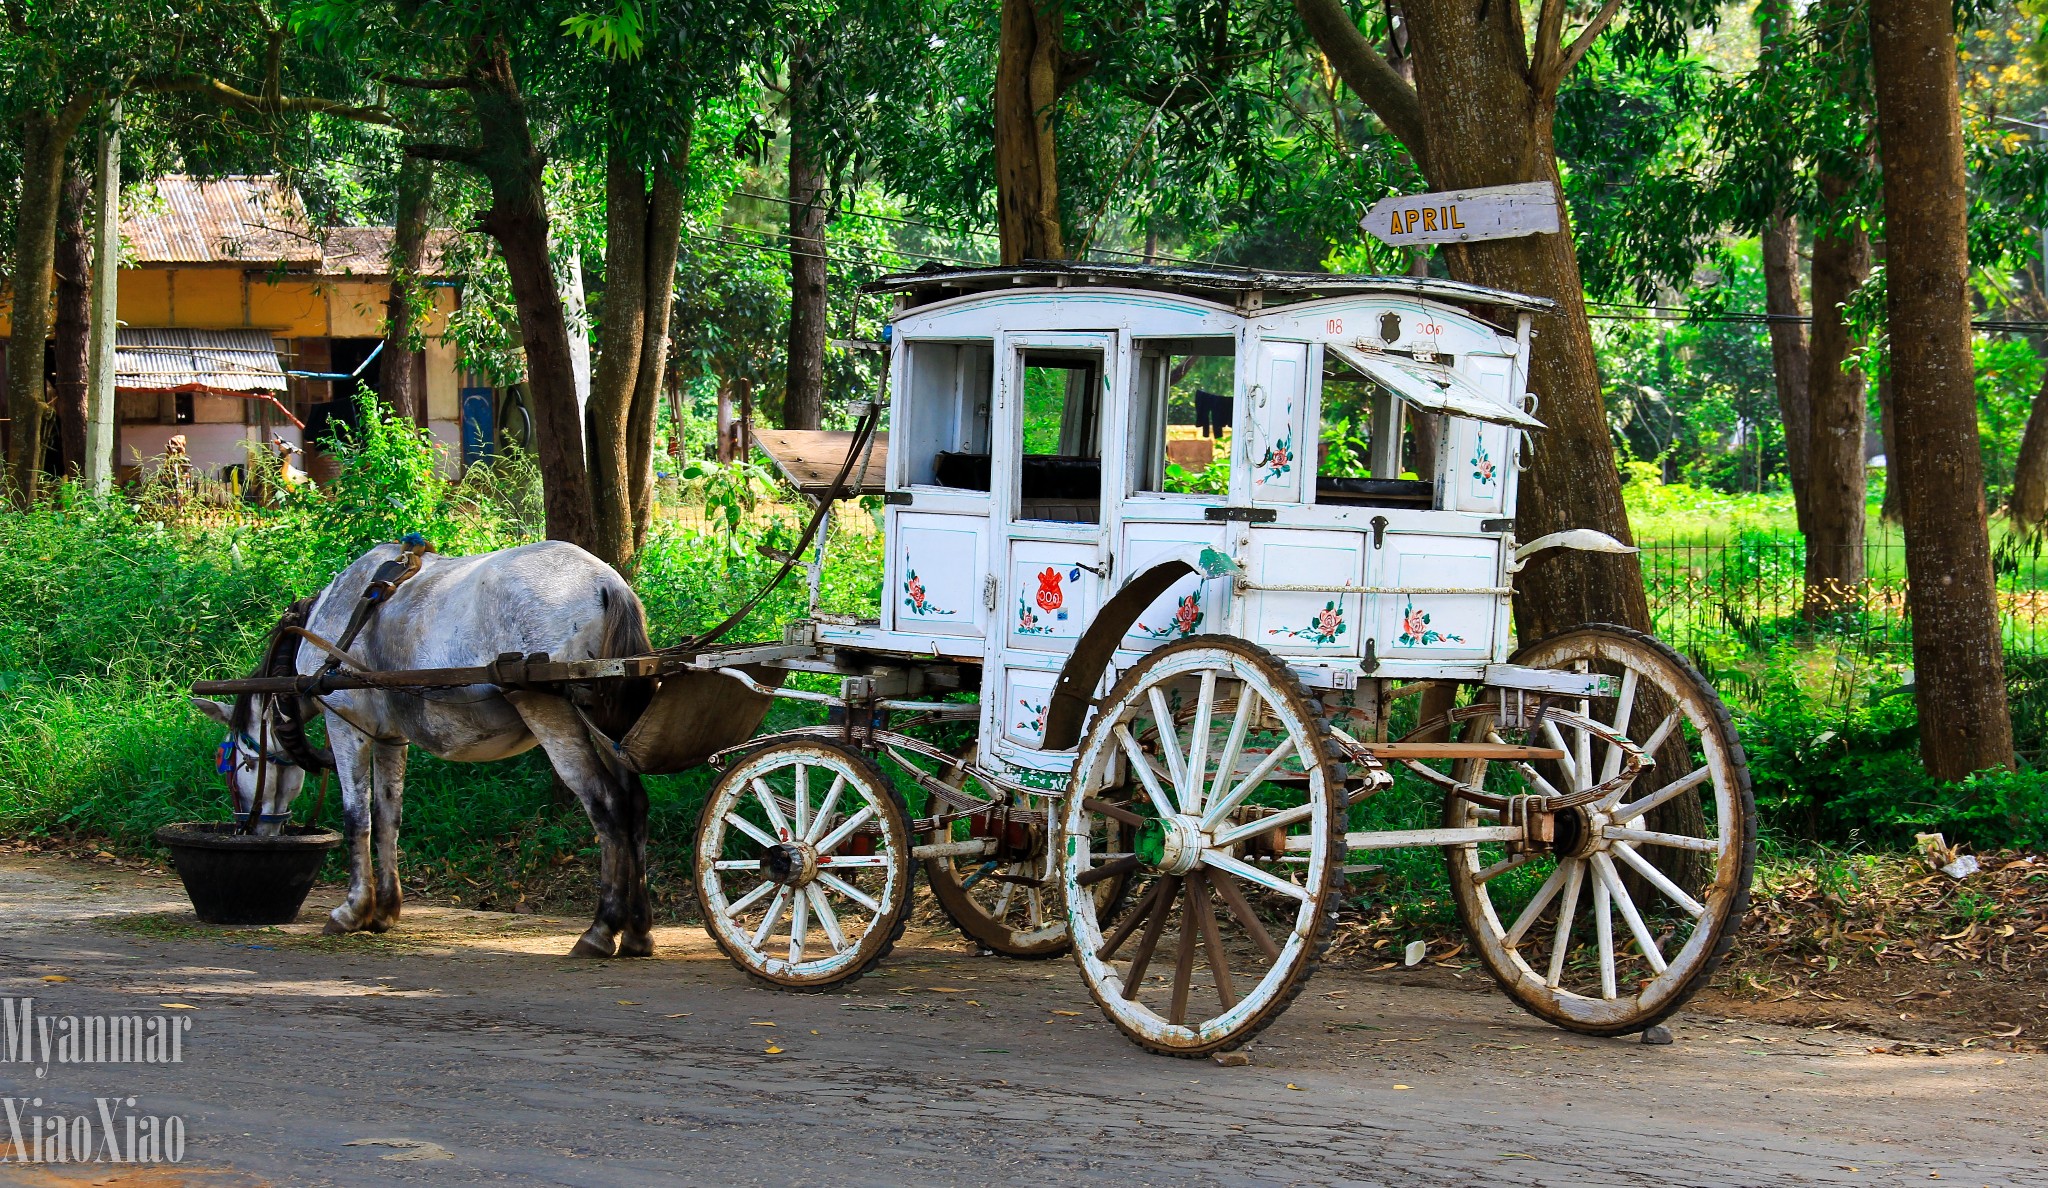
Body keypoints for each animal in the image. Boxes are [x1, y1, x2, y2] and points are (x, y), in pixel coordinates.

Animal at [195, 536, 651, 954]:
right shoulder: (390, 736)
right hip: (608, 721)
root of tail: (606, 581)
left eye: (235, 765)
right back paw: (637, 932)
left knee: (607, 805)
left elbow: (356, 817)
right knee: (634, 806)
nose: (246, 828)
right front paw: (384, 910)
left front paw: (352, 910)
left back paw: (600, 930)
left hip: (549, 709)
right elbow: (388, 817)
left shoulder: (346, 724)